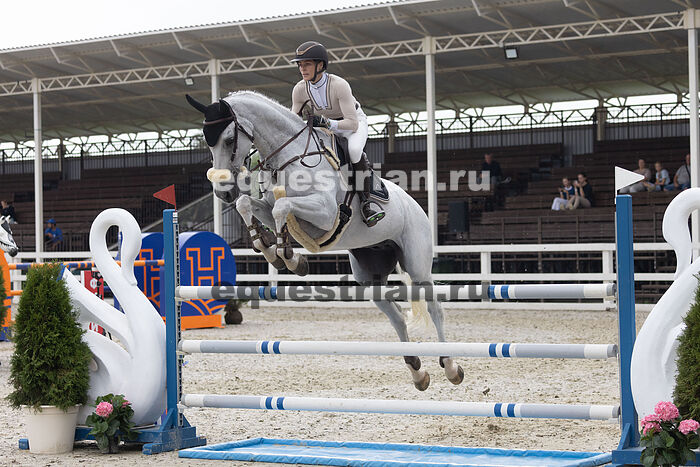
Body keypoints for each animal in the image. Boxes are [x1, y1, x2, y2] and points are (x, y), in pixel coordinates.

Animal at [186, 91, 463, 390]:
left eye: (228, 140)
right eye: (207, 142)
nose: (222, 192)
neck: (290, 157)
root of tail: (416, 206)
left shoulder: (325, 213)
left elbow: (281, 206)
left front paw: (288, 257)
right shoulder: (278, 210)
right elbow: (248, 204)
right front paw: (272, 249)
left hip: (417, 265)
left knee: (435, 309)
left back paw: (451, 367)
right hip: (370, 276)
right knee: (397, 317)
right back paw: (417, 372)